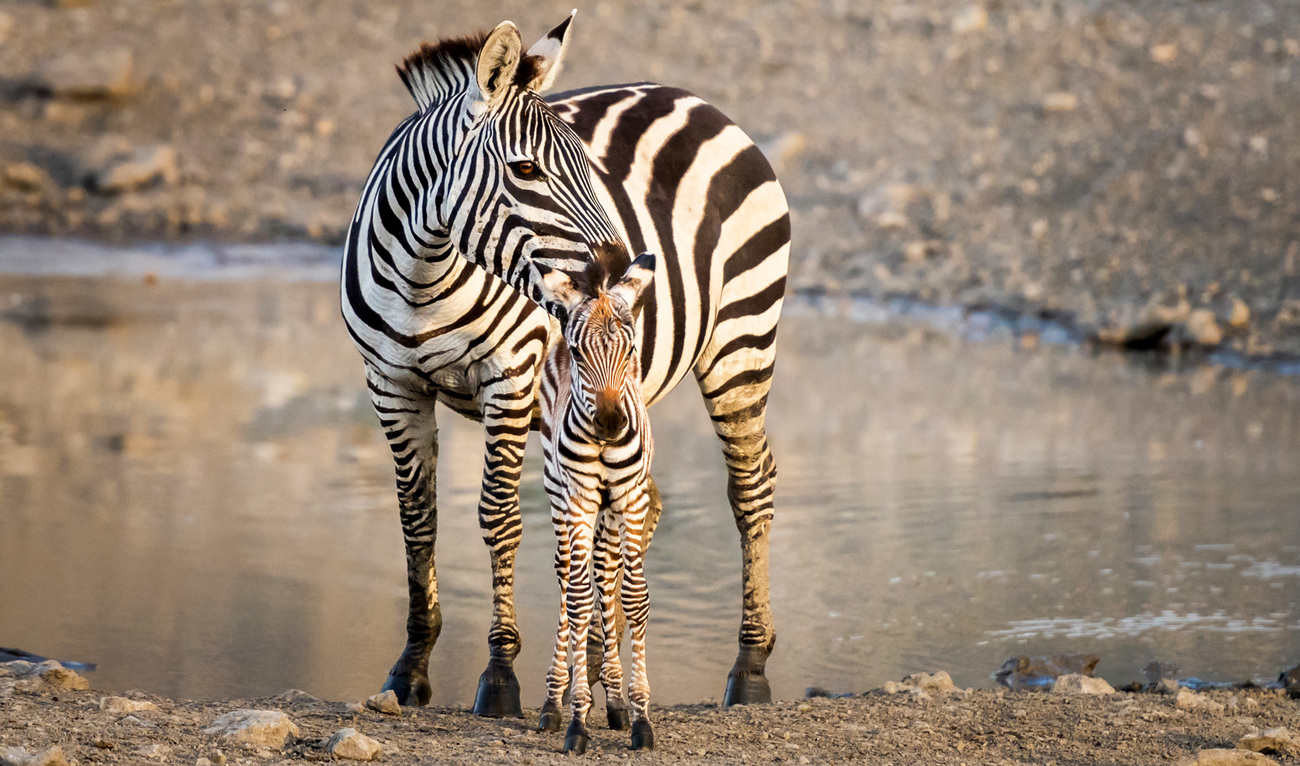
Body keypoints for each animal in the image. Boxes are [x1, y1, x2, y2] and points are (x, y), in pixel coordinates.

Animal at [340, 14, 785, 712]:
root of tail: (694, 99)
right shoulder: (390, 385)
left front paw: (500, 675)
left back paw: (750, 666)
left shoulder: (509, 375)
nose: (627, 276)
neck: (425, 275)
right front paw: (410, 667)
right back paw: (601, 661)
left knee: (750, 489)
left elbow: (498, 516)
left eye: (587, 167)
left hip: (742, 341)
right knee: (636, 504)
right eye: (524, 168)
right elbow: (418, 522)